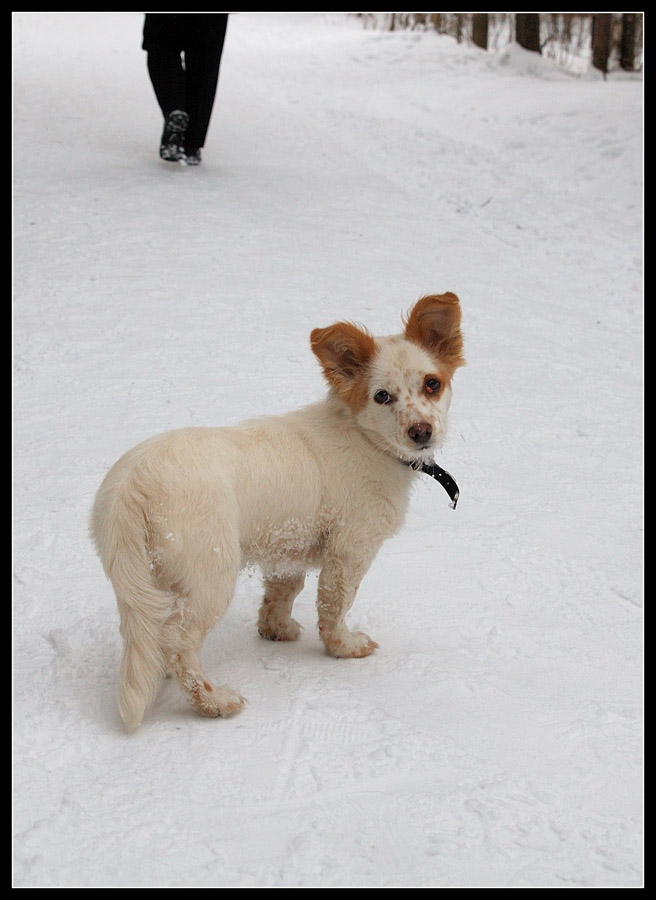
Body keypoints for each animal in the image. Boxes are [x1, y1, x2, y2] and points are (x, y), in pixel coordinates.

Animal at [89, 296, 464, 732]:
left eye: (432, 384)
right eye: (382, 396)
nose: (421, 432)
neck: (365, 439)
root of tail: (131, 483)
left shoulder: (287, 546)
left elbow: (282, 593)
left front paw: (276, 630)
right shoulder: (350, 549)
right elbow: (335, 604)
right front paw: (344, 647)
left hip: (148, 578)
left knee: (150, 634)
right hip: (209, 575)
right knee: (177, 641)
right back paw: (213, 701)